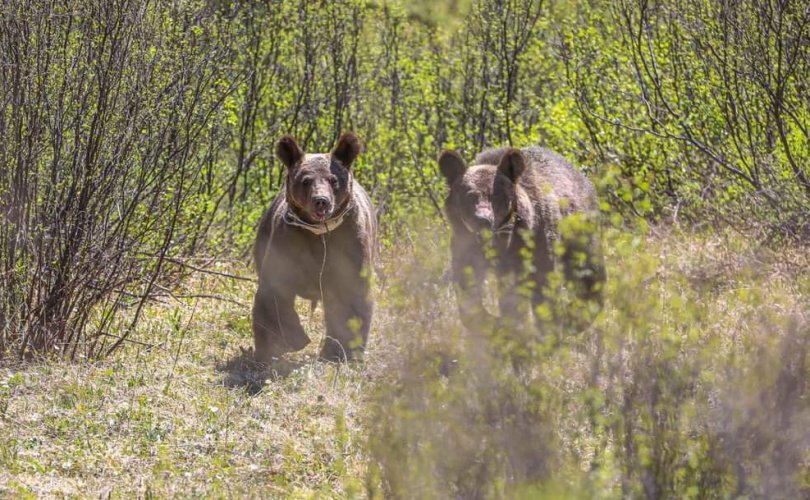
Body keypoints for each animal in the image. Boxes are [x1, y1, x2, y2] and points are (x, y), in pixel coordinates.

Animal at [252, 132, 376, 360]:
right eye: (306, 180)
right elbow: (275, 291)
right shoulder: (288, 241)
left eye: (333, 179)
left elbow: (352, 298)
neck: (318, 232)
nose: (321, 201)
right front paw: (288, 341)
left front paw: (343, 350)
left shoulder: (348, 244)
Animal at [438, 145, 604, 328]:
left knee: (589, 271)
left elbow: (544, 285)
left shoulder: (536, 240)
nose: (483, 219)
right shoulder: (465, 246)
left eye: (495, 195)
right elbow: (468, 285)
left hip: (579, 230)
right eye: (469, 195)